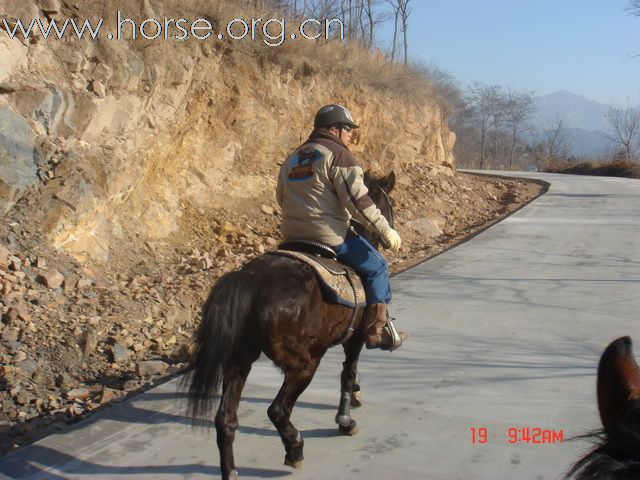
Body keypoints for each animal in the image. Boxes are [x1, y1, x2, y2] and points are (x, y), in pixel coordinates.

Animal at [182, 171, 398, 478]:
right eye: (390, 204)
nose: (391, 232)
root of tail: (249, 279)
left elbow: (350, 373)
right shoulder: (355, 339)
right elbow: (348, 373)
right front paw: (345, 420)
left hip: (239, 360)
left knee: (225, 418)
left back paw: (232, 470)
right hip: (303, 364)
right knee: (277, 410)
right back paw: (295, 448)